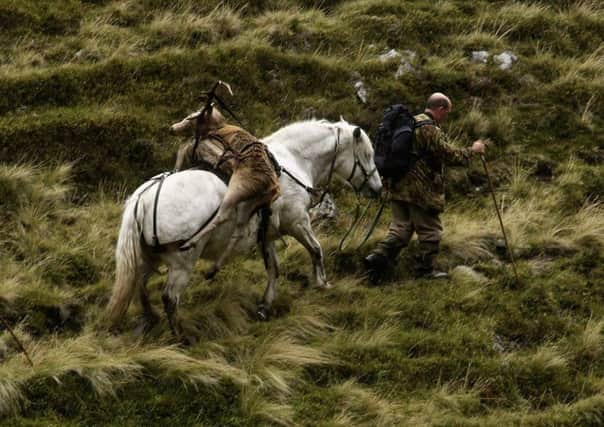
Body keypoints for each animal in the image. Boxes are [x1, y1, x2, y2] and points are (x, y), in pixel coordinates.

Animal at [107, 117, 382, 342]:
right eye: (368, 154)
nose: (378, 189)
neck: (294, 162)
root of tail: (143, 198)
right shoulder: (297, 222)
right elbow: (316, 250)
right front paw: (322, 284)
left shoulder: (268, 235)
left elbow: (274, 269)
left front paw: (265, 306)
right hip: (181, 263)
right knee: (169, 298)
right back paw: (180, 337)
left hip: (149, 258)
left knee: (141, 287)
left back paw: (151, 319)